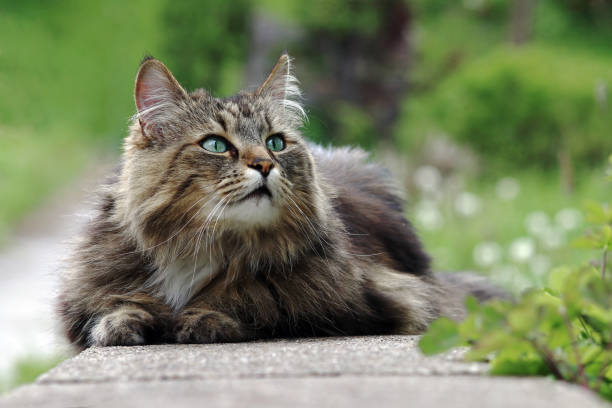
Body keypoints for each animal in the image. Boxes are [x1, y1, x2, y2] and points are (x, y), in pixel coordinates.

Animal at [58, 52, 506, 350]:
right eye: (215, 144)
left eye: (275, 142)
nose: (264, 164)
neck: (201, 248)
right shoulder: (82, 300)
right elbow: (117, 306)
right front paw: (124, 322)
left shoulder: (371, 298)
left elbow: (257, 299)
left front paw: (204, 317)